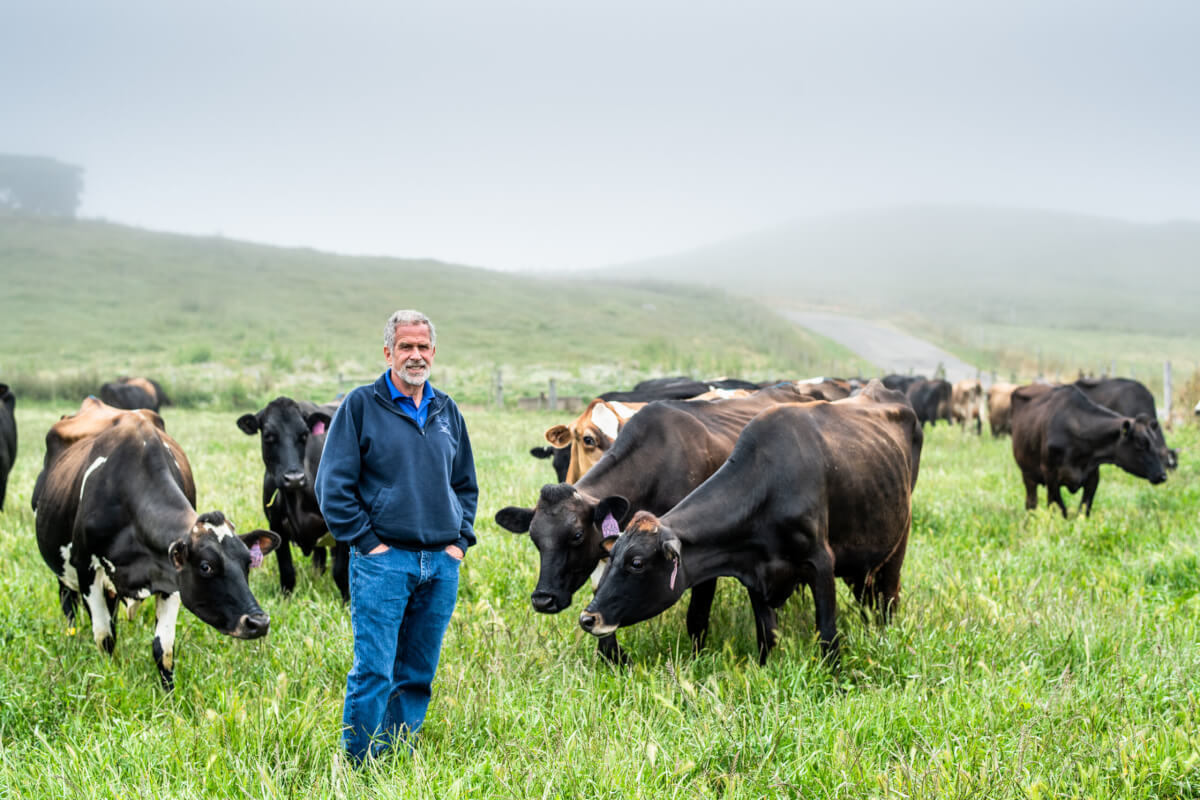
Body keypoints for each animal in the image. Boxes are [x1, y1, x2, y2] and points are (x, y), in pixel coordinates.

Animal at [32, 398, 278, 690]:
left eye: (248, 563)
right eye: (206, 566)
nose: (259, 622)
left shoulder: (171, 577)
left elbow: (164, 648)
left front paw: (168, 693)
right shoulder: (86, 570)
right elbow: (104, 637)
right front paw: (109, 677)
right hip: (63, 569)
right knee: (68, 601)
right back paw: (71, 636)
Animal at [235, 398, 345, 599]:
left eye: (304, 435)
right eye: (268, 436)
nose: (294, 478)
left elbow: (341, 572)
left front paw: (346, 601)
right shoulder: (276, 526)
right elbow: (287, 572)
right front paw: (285, 600)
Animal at [492, 381, 811, 662]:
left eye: (577, 535)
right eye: (535, 538)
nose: (543, 599)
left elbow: (697, 615)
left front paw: (696, 658)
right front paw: (612, 658)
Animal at [576, 381, 921, 662]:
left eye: (636, 563)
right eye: (610, 556)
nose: (588, 618)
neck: (768, 487)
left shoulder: (821, 564)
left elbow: (827, 634)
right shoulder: (756, 573)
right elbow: (767, 635)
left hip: (897, 545)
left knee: (889, 600)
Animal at [1008, 383, 1166, 520]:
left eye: (1154, 442)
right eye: (1141, 444)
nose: (1162, 475)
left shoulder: (1093, 477)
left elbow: (1083, 511)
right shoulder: (1050, 476)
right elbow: (1061, 510)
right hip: (1028, 474)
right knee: (1031, 504)